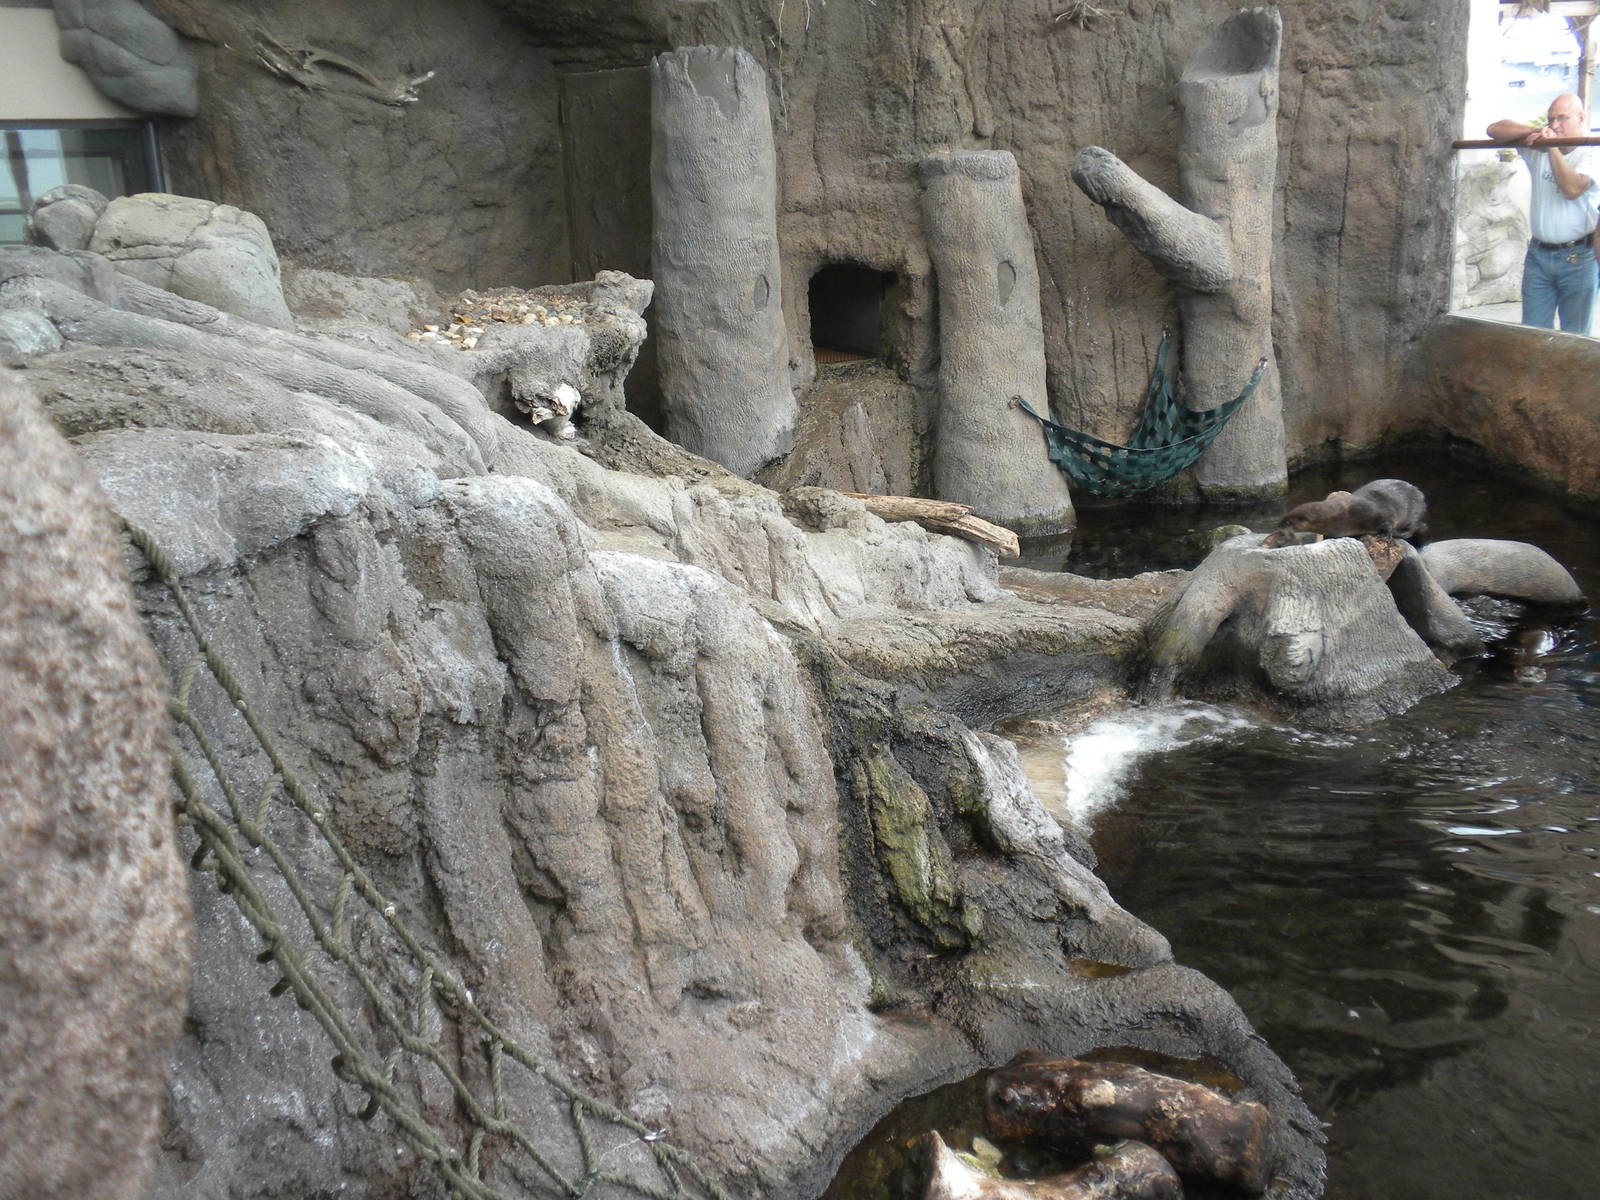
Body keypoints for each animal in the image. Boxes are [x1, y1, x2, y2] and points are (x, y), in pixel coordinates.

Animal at [1273, 478, 1427, 543]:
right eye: (1283, 518)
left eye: (1288, 522)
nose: (1278, 525)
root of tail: (1421, 494)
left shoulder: (1380, 513)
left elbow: (1388, 523)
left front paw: (1383, 537)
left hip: (1415, 513)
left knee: (1413, 528)